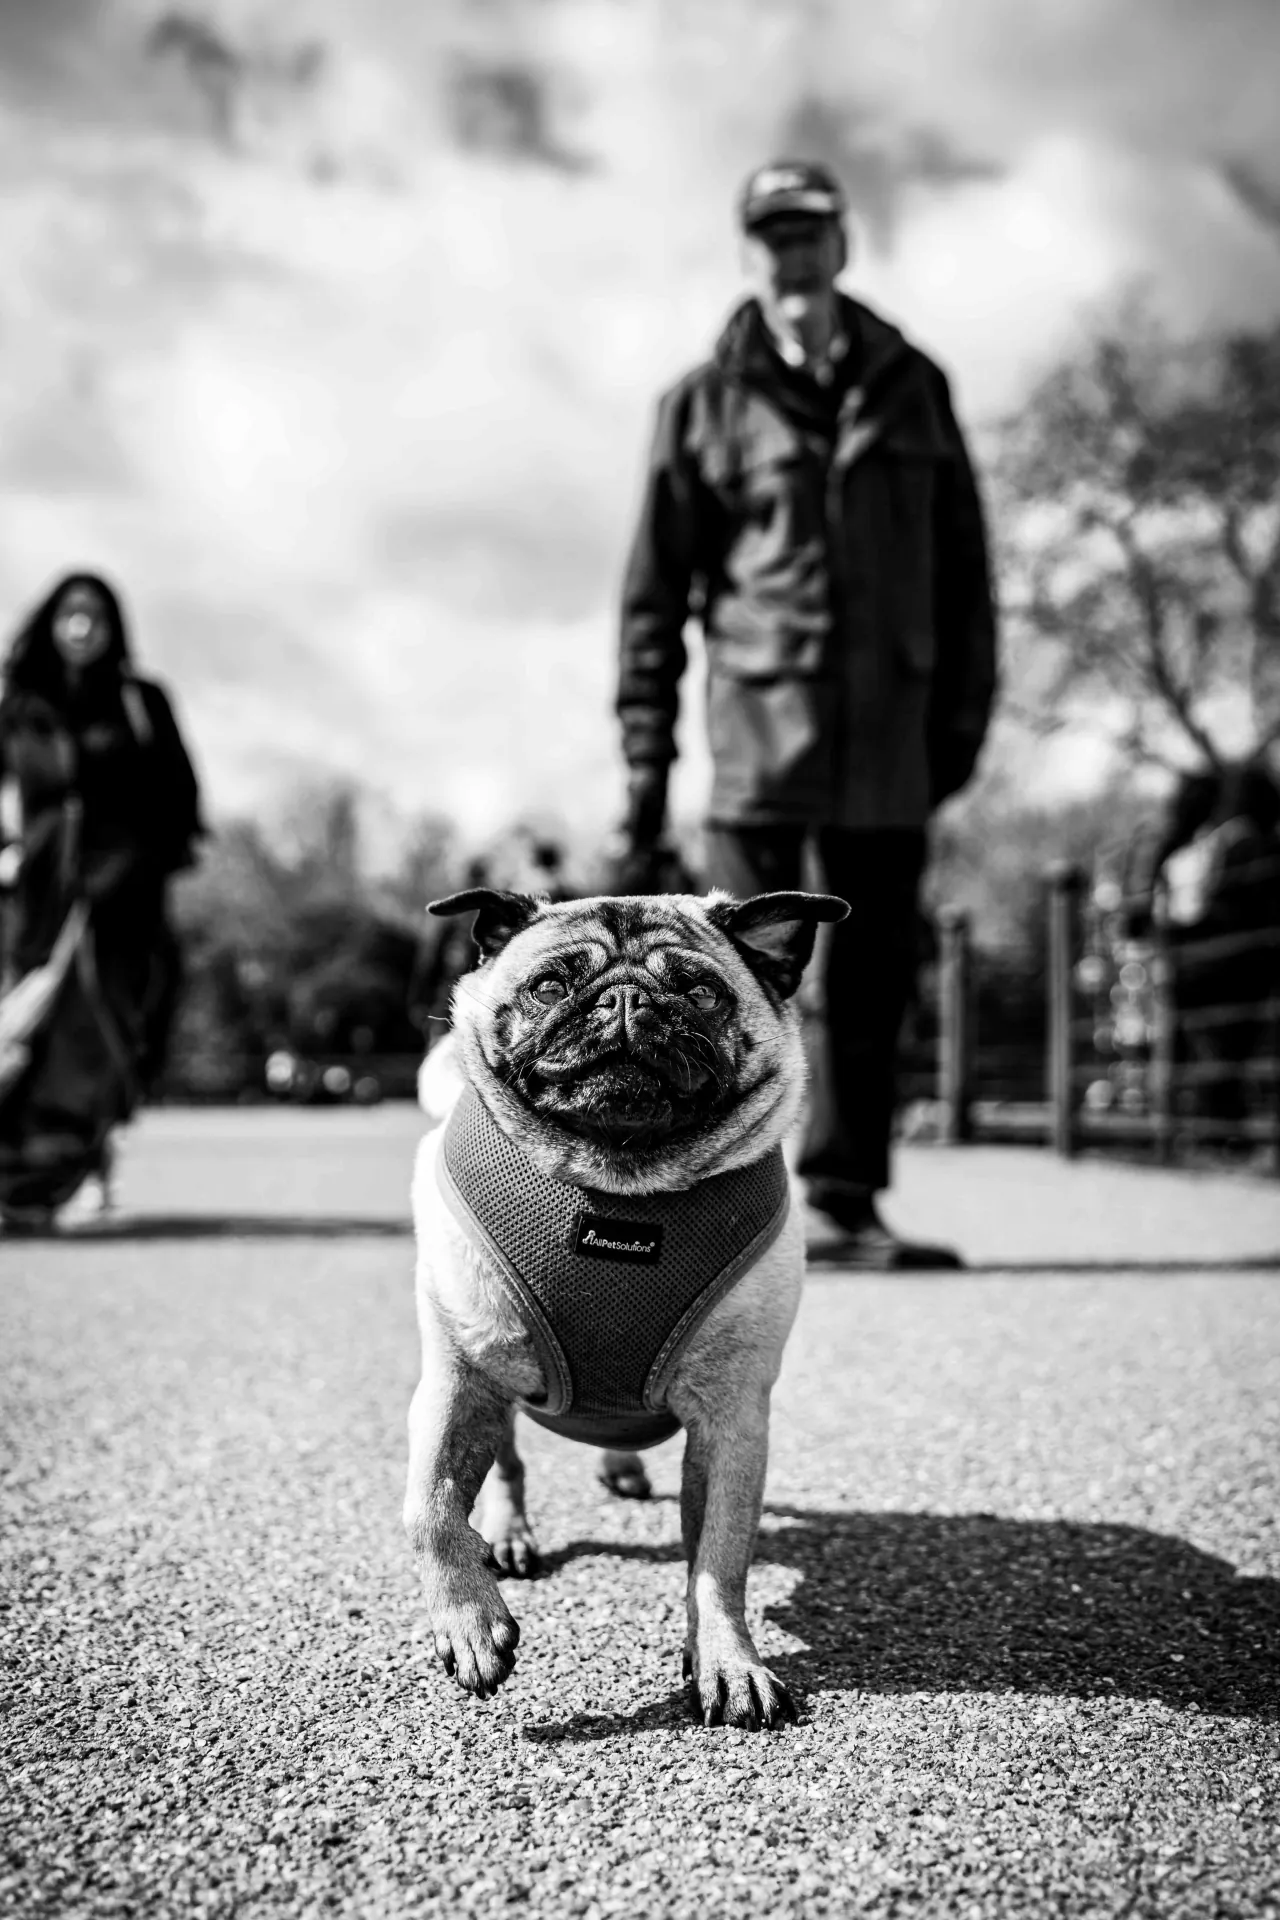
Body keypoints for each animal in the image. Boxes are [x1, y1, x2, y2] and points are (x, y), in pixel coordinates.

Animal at [408, 883, 852, 1728]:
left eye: (701, 993)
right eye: (550, 986)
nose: (625, 998)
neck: (620, 1185)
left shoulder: (732, 1421)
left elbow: (719, 1559)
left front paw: (727, 1660)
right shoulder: (458, 1380)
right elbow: (432, 1512)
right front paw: (469, 1623)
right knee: (507, 1462)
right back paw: (508, 1536)